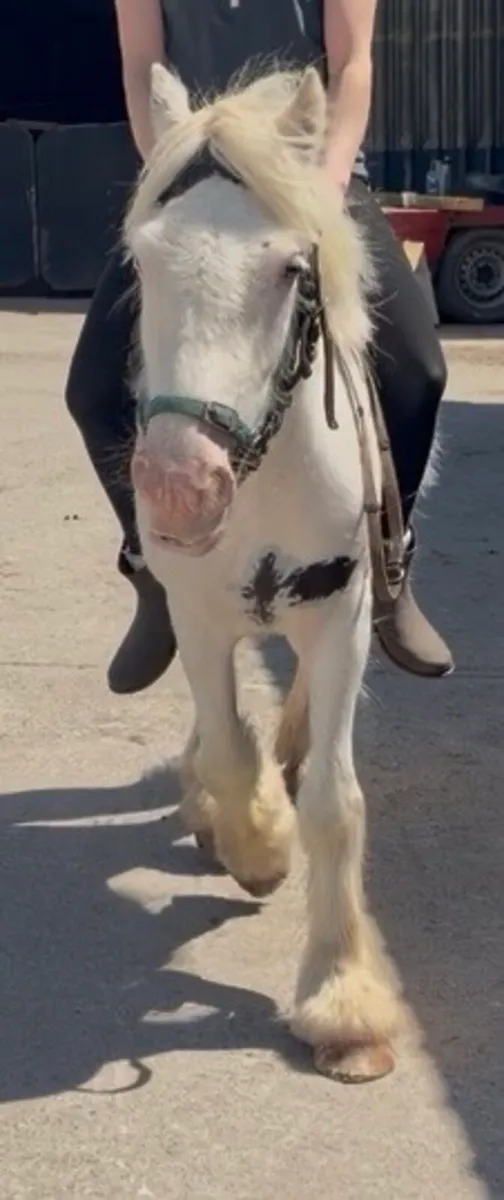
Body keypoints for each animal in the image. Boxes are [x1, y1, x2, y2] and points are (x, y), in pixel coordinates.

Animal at [124, 63, 407, 1083]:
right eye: (140, 263)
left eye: (289, 268)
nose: (180, 486)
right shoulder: (198, 613)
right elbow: (223, 744)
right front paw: (255, 844)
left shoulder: (341, 615)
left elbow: (333, 798)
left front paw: (344, 1004)